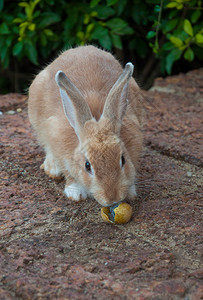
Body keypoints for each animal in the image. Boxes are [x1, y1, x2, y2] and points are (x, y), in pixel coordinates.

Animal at [27, 45, 144, 207]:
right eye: (87, 166)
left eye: (123, 159)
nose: (112, 199)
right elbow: (69, 174)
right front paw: (75, 193)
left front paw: (131, 192)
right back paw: (52, 168)